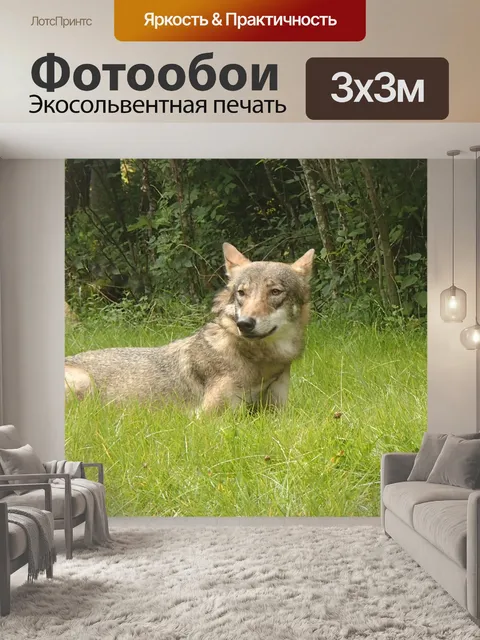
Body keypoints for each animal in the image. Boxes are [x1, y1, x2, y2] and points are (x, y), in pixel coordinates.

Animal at [65, 243, 315, 412]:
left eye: (275, 292)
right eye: (242, 293)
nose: (244, 324)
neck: (260, 364)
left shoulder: (278, 412)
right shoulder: (209, 418)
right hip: (85, 385)